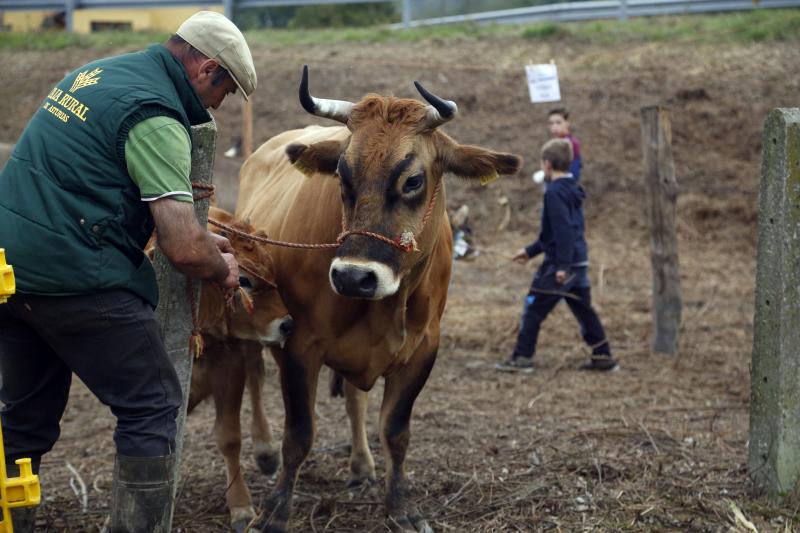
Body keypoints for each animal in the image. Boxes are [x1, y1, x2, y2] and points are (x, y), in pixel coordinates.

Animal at [238, 68, 520, 528]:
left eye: (413, 181)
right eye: (341, 175)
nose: (354, 277)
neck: (386, 305)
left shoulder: (423, 350)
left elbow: (396, 431)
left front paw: (400, 505)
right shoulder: (299, 345)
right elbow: (298, 434)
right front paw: (275, 510)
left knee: (356, 398)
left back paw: (361, 465)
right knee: (253, 373)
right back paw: (262, 451)